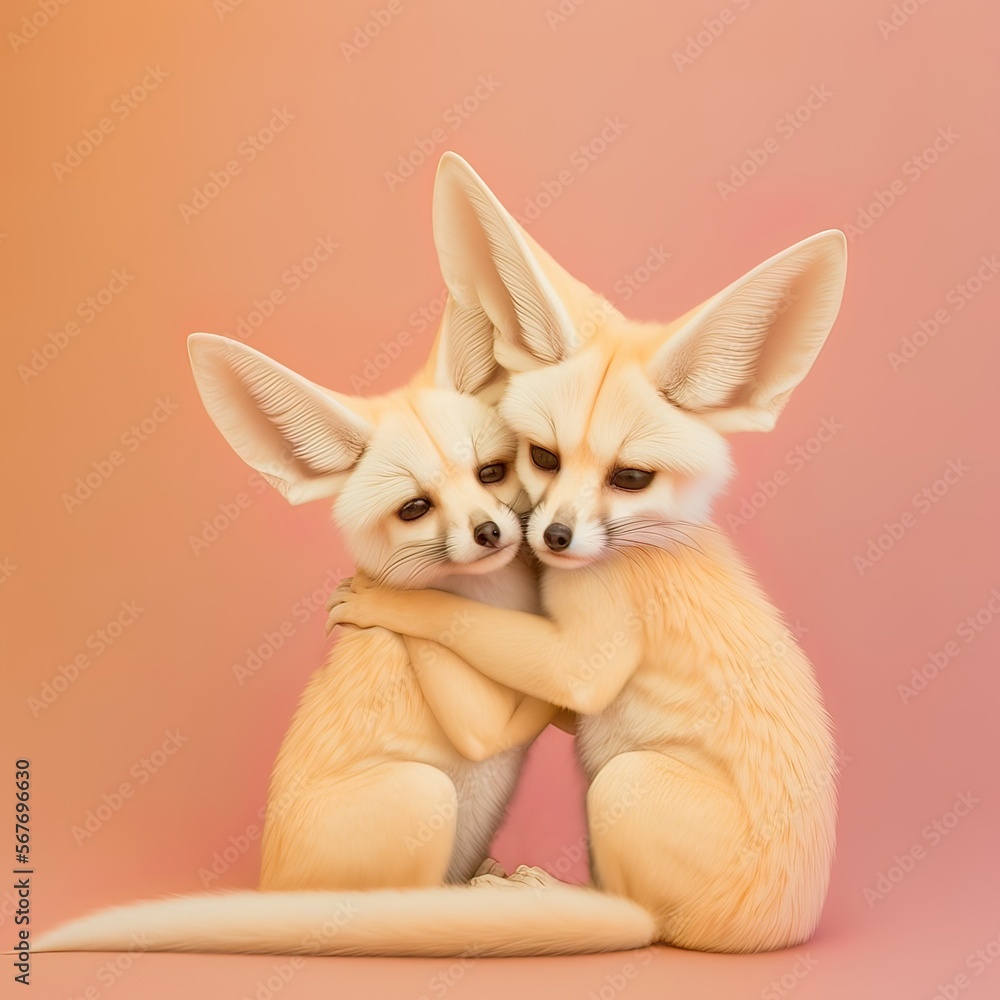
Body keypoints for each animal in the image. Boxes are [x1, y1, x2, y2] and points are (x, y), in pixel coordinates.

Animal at [323, 155, 849, 952]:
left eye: (630, 478)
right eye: (542, 457)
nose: (555, 538)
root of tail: (790, 925)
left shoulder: (590, 647)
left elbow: (529, 657)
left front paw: (390, 601)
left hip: (623, 785)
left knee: (645, 921)